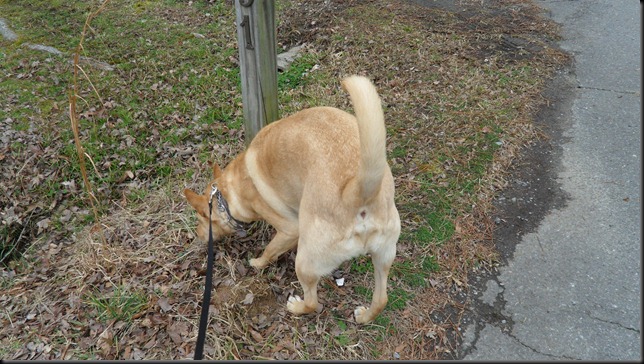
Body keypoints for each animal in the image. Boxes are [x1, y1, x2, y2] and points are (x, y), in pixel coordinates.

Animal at [184, 74, 400, 324]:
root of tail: (356, 192)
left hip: (305, 262)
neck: (229, 190)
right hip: (384, 257)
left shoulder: (288, 229)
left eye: (200, 219)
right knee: (381, 299)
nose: (198, 236)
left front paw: (257, 263)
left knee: (313, 302)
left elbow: (269, 251)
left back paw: (296, 307)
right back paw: (365, 316)